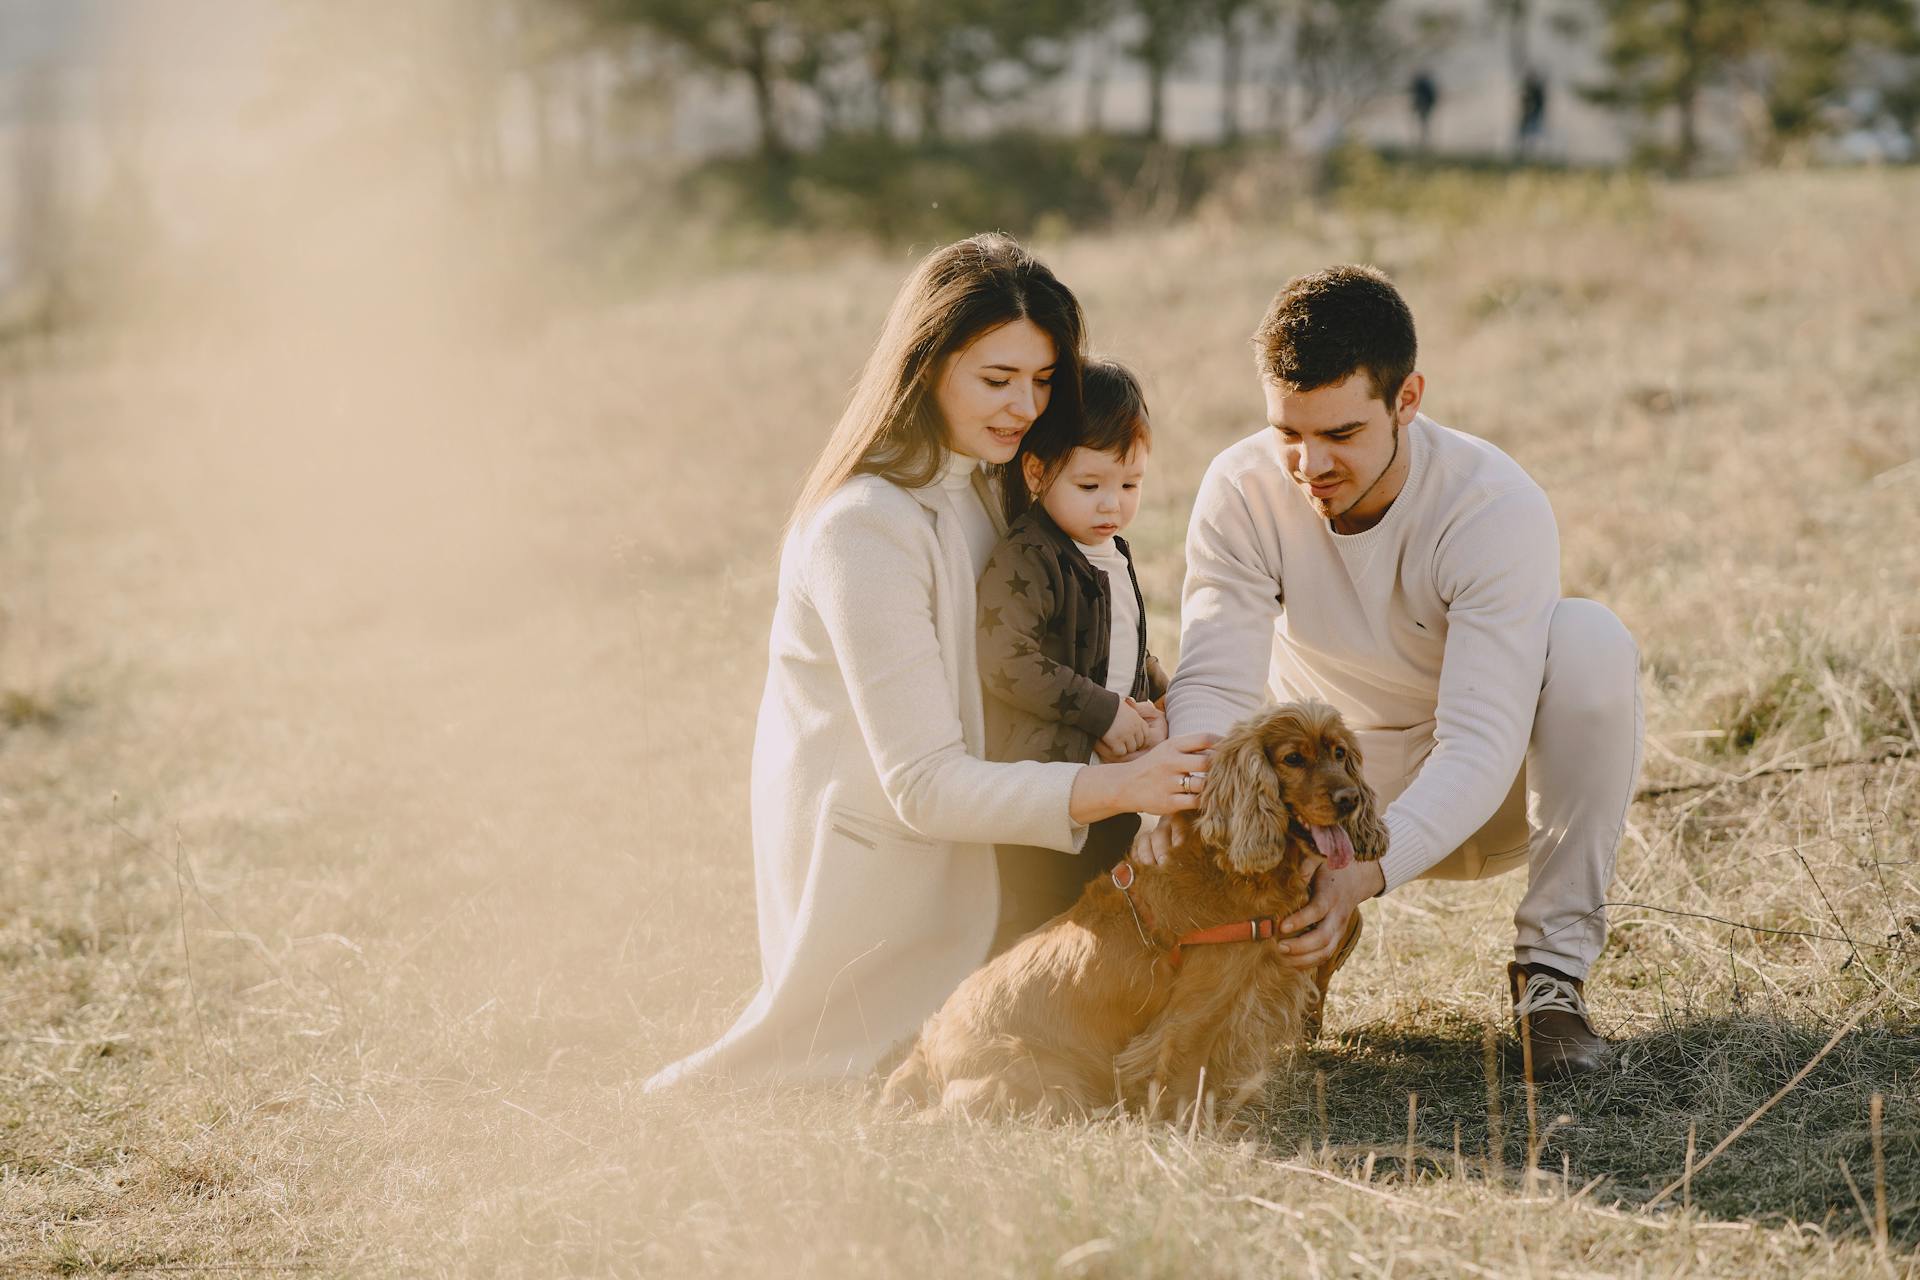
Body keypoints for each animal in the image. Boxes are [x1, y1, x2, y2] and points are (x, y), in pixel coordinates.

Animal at [883, 694, 1382, 1128]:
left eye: (1339, 753)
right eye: (1293, 759)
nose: (1350, 799)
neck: (1231, 867)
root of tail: (926, 1047)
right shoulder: (1199, 1007)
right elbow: (1184, 1074)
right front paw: (1190, 1131)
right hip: (1043, 1083)